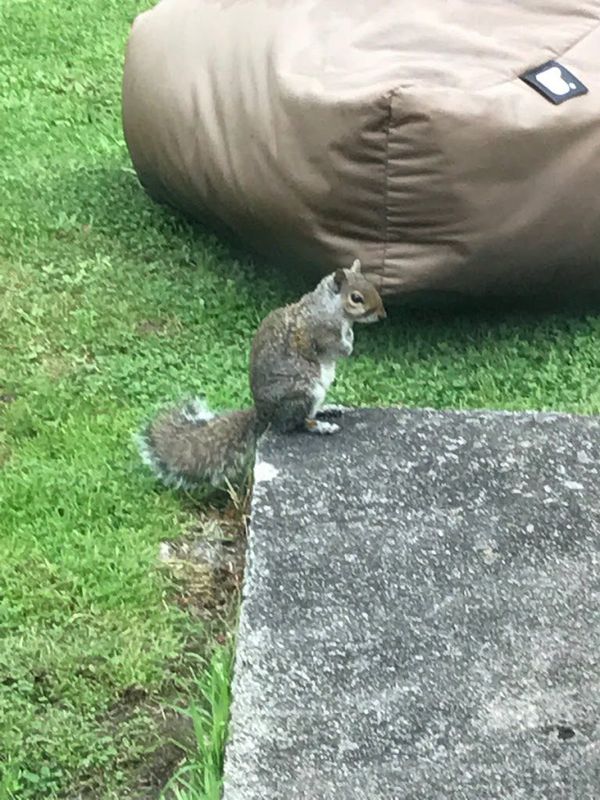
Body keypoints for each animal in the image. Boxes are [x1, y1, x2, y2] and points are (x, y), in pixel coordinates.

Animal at [137, 258, 386, 490]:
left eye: (371, 285)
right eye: (356, 298)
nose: (382, 315)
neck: (329, 307)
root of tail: (264, 415)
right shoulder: (321, 333)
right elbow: (336, 348)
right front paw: (349, 345)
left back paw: (328, 409)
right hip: (304, 393)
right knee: (296, 423)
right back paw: (321, 426)